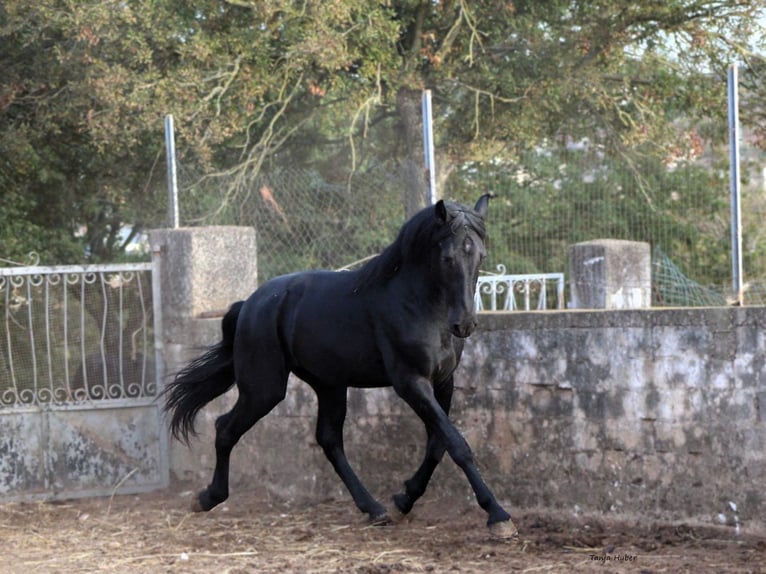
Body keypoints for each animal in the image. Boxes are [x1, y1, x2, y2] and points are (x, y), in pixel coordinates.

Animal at [165, 195, 520, 540]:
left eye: (481, 256)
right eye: (447, 258)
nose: (465, 324)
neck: (414, 303)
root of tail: (251, 304)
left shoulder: (443, 381)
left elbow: (438, 445)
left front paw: (403, 500)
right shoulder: (411, 383)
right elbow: (457, 445)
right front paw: (499, 516)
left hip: (329, 385)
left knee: (329, 440)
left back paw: (375, 509)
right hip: (264, 389)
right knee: (226, 427)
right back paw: (207, 497)